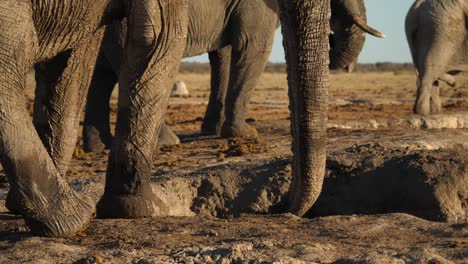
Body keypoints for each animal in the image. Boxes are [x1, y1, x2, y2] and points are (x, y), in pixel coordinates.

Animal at [82, 0, 386, 153]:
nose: (331, 37)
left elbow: (223, 56)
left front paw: (212, 132)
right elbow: (254, 48)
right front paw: (244, 134)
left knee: (101, 74)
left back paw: (99, 147)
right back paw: (168, 141)